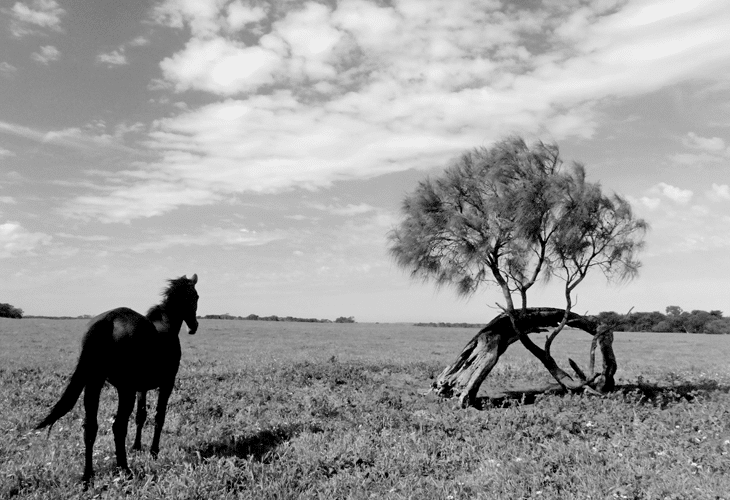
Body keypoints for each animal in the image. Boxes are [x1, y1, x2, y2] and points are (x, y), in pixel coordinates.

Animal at [35, 274, 198, 484]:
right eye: (195, 297)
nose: (194, 326)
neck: (166, 324)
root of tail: (109, 319)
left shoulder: (141, 387)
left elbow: (141, 416)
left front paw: (137, 447)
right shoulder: (167, 383)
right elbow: (158, 417)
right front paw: (153, 452)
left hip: (95, 383)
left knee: (90, 428)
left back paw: (88, 476)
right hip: (124, 390)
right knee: (118, 427)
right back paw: (125, 469)